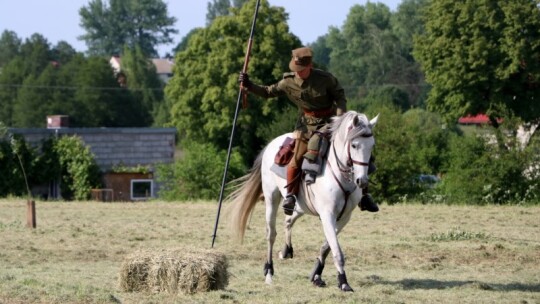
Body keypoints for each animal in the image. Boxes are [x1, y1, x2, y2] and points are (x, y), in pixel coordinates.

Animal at [226, 110, 378, 290]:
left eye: (372, 146)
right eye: (354, 145)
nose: (362, 181)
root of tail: (271, 144)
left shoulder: (344, 217)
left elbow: (327, 246)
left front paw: (317, 275)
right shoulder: (328, 215)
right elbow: (336, 250)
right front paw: (343, 282)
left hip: (299, 206)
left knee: (288, 220)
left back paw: (286, 250)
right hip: (272, 199)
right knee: (271, 234)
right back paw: (269, 272)